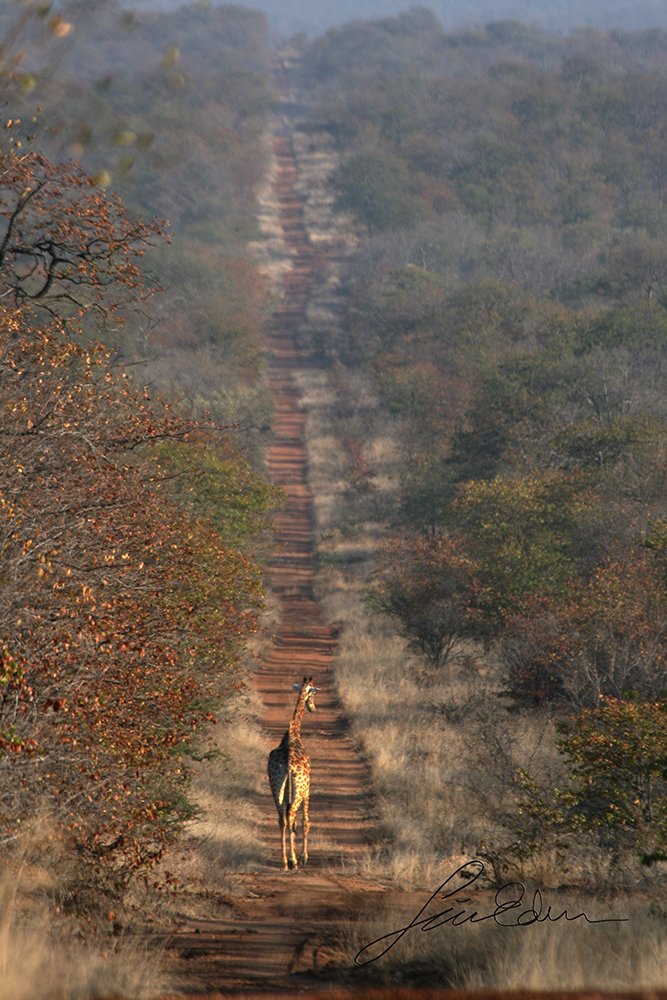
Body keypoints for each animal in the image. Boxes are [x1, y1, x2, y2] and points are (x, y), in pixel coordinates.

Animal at [267, 676, 317, 871]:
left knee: (282, 819)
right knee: (290, 816)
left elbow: (294, 823)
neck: (294, 733)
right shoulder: (308, 790)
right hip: (298, 791)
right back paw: (294, 861)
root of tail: (288, 764)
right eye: (313, 693)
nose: (313, 707)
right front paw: (304, 858)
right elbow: (305, 822)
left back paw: (284, 861)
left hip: (276, 789)